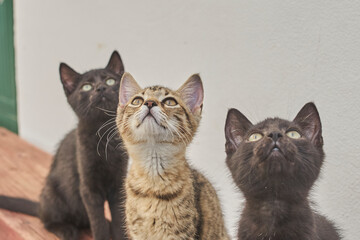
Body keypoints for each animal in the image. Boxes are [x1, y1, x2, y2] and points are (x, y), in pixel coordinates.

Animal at [0, 51, 129, 240]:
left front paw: (118, 233)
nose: (100, 88)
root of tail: (40, 205)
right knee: (47, 221)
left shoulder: (118, 184)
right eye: (86, 87)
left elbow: (119, 218)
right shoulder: (88, 187)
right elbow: (97, 221)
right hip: (53, 193)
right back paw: (66, 230)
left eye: (110, 81)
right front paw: (102, 235)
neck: (104, 137)